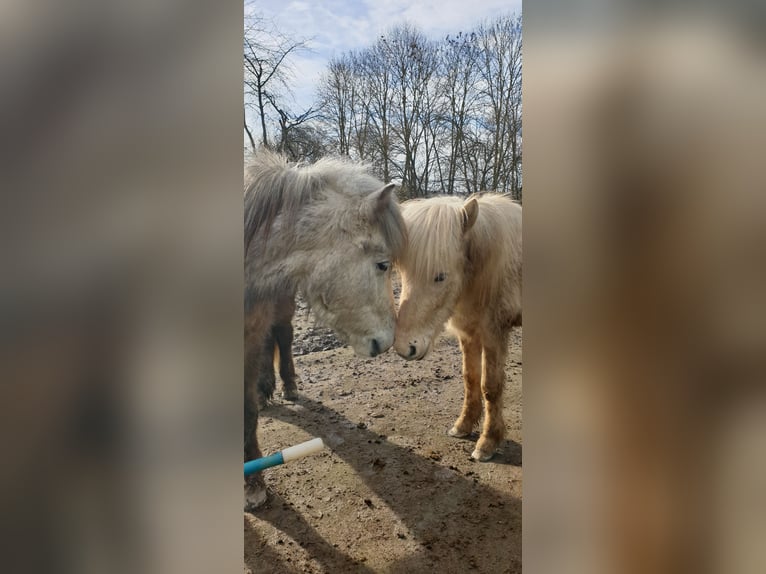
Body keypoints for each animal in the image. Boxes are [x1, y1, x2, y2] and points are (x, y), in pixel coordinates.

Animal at [396, 194, 520, 464]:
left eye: (440, 276)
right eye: (403, 274)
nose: (405, 348)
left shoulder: (494, 333)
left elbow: (490, 387)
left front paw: (487, 443)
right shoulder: (469, 333)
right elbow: (470, 378)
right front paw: (463, 426)